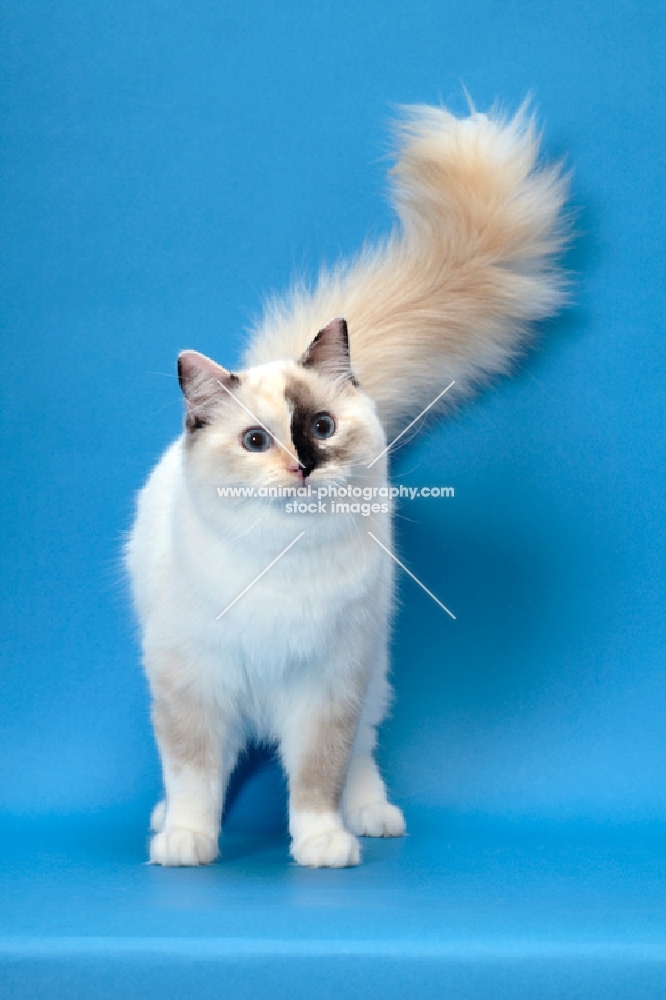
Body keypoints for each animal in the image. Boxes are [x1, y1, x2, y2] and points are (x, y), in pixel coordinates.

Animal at [124, 103, 564, 868]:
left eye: (322, 427)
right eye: (256, 442)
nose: (303, 467)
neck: (280, 560)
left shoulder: (326, 690)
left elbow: (316, 777)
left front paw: (323, 844)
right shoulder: (193, 687)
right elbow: (194, 775)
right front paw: (188, 840)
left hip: (371, 670)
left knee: (361, 757)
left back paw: (372, 817)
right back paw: (161, 822)